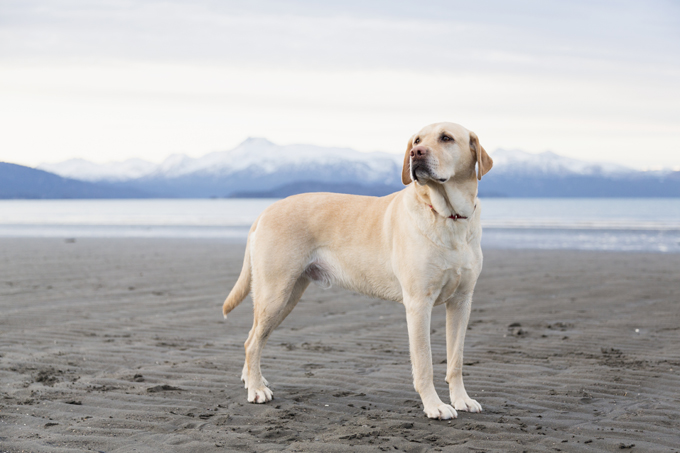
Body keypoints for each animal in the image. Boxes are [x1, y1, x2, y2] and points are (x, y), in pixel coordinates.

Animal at [224, 122, 494, 418]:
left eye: (446, 138)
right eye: (417, 140)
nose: (416, 153)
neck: (449, 216)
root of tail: (266, 210)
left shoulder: (461, 302)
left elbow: (456, 360)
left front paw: (461, 399)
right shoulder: (418, 304)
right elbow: (424, 363)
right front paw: (434, 405)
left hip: (288, 296)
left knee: (254, 338)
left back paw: (254, 379)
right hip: (275, 293)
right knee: (252, 342)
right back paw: (256, 389)